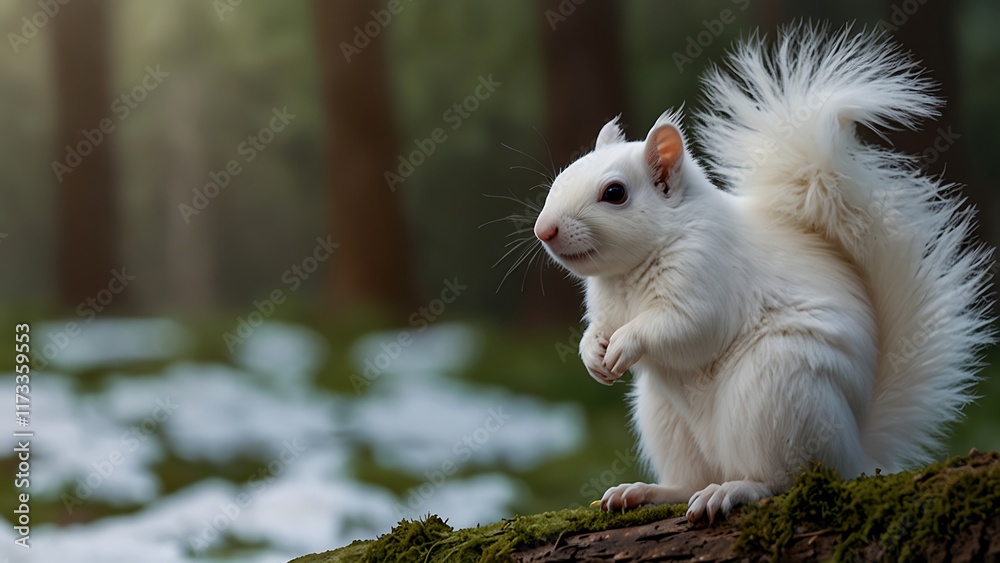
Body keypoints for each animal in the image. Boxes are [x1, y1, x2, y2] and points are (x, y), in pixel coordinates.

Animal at [532, 24, 994, 524]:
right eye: (562, 177)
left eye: (614, 193)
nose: (543, 229)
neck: (630, 271)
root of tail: (854, 452)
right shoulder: (606, 305)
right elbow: (599, 327)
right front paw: (592, 354)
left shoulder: (708, 276)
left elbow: (687, 327)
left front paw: (625, 344)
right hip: (665, 419)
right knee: (690, 479)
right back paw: (644, 491)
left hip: (775, 396)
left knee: (783, 479)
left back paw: (734, 489)